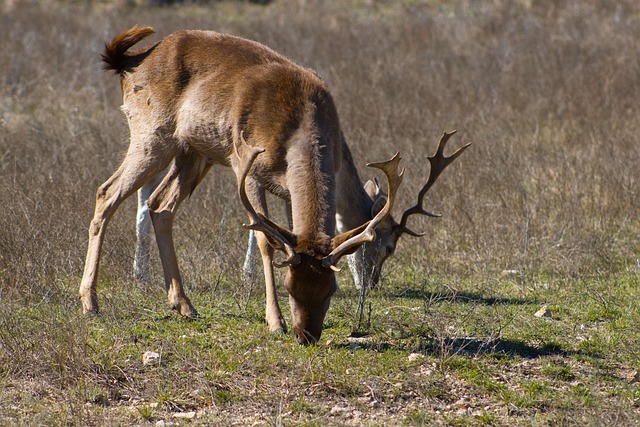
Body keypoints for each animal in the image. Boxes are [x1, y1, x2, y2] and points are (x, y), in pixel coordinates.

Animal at [77, 25, 404, 346]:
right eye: (290, 287)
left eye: (330, 289)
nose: (306, 336)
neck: (299, 126)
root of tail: (129, 63)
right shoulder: (248, 168)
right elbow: (265, 241)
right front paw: (275, 322)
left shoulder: (289, 192)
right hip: (151, 133)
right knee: (107, 192)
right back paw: (90, 302)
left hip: (193, 152)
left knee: (160, 205)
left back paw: (183, 304)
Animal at [132, 130, 470, 290]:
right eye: (388, 247)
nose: (371, 284)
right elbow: (264, 226)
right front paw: (249, 276)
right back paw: (141, 274)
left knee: (146, 196)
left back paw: (141, 274)